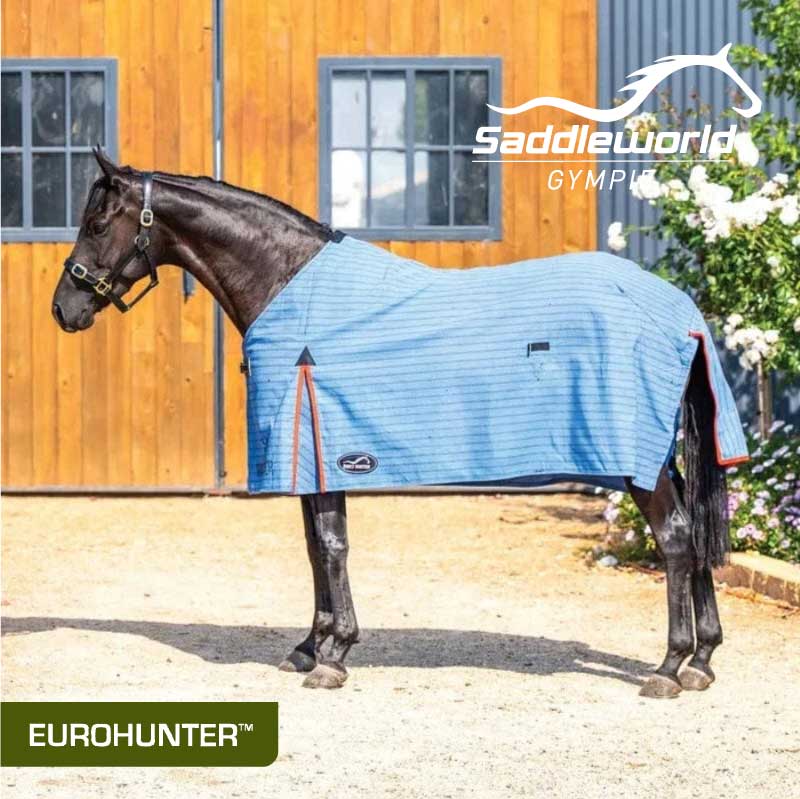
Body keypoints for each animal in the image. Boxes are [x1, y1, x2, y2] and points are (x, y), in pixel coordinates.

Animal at [52, 147, 745, 698]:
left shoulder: (325, 448)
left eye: (97, 222)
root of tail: (678, 308)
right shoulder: (314, 458)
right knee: (695, 537)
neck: (287, 282)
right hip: (655, 456)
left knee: (676, 540)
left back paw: (668, 668)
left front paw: (333, 656)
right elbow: (315, 548)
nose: (65, 307)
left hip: (635, 462)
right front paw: (310, 646)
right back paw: (703, 662)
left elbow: (332, 547)